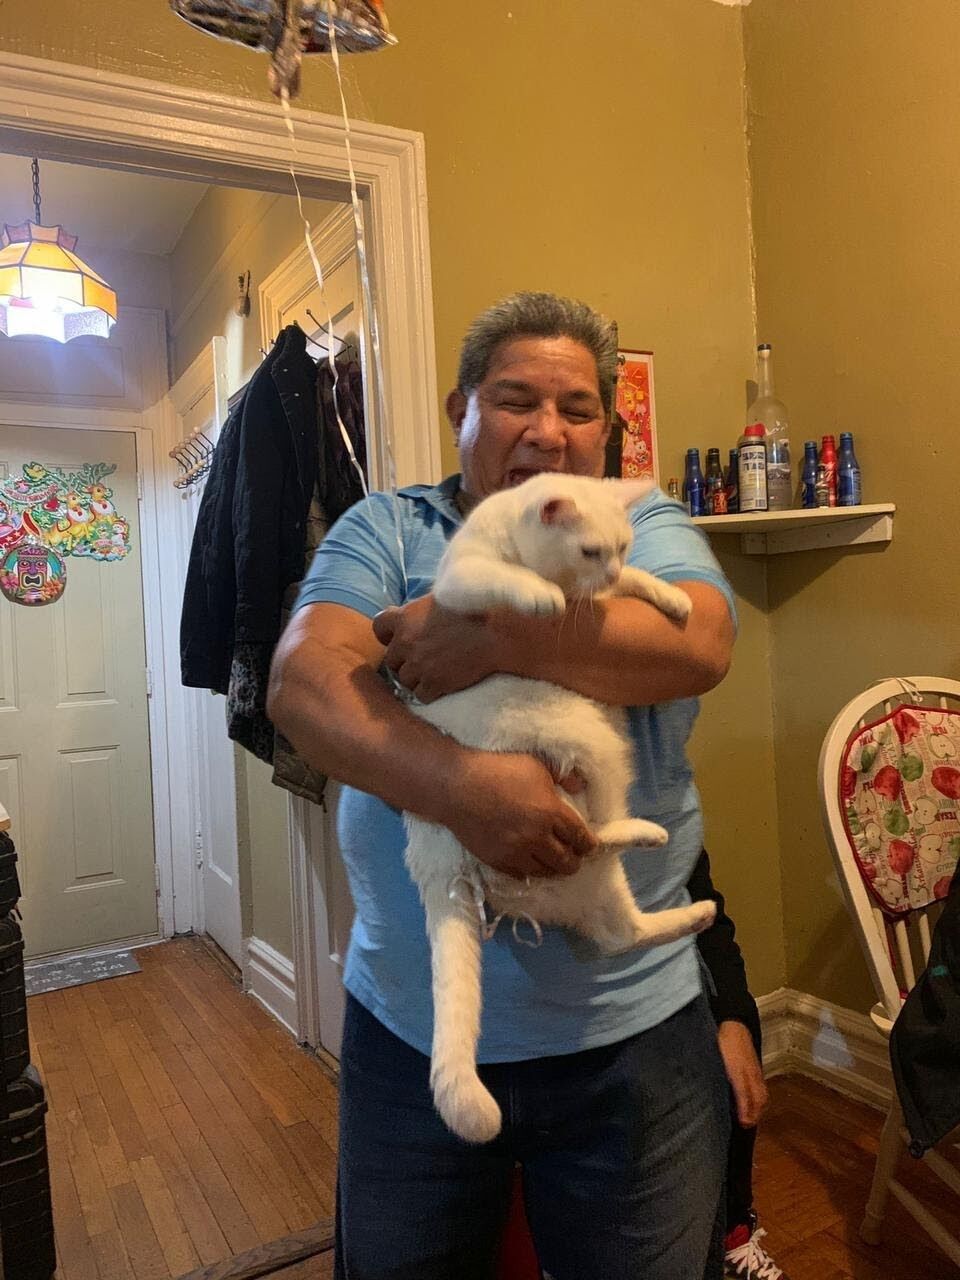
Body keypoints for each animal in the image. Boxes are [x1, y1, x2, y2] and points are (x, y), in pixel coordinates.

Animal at [403, 472, 717, 1144]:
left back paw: (693, 912)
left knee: (620, 929)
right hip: (585, 743)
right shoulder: (462, 578)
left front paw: (671, 598)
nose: (609, 569)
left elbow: (639, 585)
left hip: (601, 874)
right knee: (590, 834)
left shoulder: (609, 586)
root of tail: (439, 867)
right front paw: (542, 597)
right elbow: (508, 580)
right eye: (590, 551)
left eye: (623, 546)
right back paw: (644, 832)